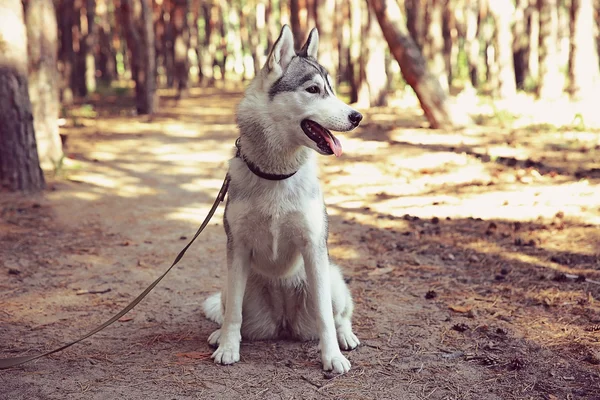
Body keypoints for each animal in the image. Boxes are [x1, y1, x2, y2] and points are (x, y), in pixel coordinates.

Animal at [203, 25, 360, 376]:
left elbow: (326, 318)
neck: (276, 175)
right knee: (231, 309)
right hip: (232, 286)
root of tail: (284, 321)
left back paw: (345, 336)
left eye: (331, 89)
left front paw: (331, 357)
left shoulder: (314, 247)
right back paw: (219, 334)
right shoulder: (237, 248)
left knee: (339, 315)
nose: (357, 116)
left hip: (332, 280)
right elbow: (233, 314)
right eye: (313, 89)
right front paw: (228, 347)